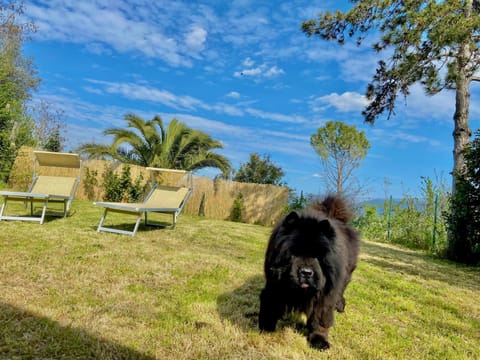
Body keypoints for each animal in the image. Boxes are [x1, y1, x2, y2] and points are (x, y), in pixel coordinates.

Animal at [260, 195, 358, 350]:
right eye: (294, 254)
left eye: (317, 256)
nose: (306, 272)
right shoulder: (275, 284)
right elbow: (271, 303)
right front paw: (266, 326)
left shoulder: (325, 295)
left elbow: (320, 318)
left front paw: (319, 340)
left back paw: (340, 306)